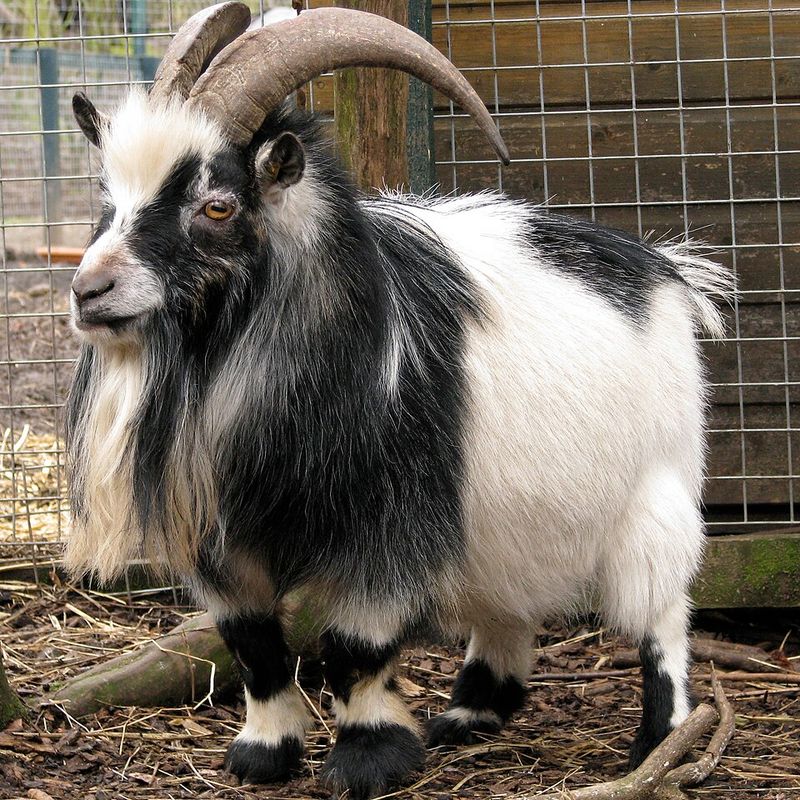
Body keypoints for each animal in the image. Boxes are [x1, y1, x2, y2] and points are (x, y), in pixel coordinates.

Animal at [65, 4, 733, 799]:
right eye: (108, 199)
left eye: (218, 205)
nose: (89, 291)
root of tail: (664, 269)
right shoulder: (223, 539)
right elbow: (253, 644)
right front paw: (264, 752)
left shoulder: (388, 523)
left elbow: (354, 644)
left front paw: (367, 758)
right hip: (502, 518)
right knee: (507, 602)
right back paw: (472, 712)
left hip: (655, 489)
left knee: (663, 611)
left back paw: (661, 738)